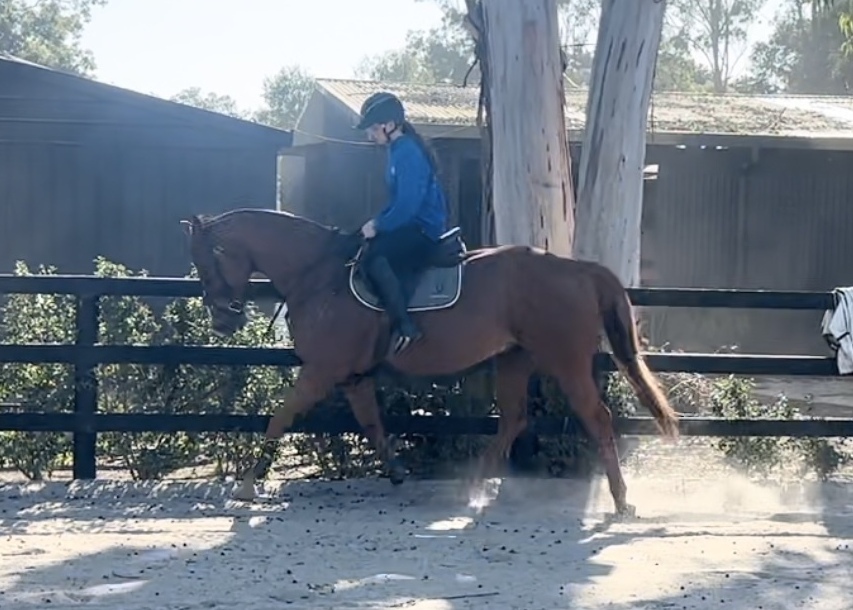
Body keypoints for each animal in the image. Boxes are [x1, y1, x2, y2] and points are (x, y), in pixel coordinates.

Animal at [180, 208, 679, 517]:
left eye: (206, 261)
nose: (222, 321)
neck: (319, 274)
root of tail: (577, 268)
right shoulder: (353, 378)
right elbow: (372, 424)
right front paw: (397, 471)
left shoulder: (320, 372)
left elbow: (280, 418)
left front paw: (248, 484)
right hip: (514, 359)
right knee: (513, 419)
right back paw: (473, 487)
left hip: (567, 361)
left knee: (596, 417)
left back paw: (620, 500)